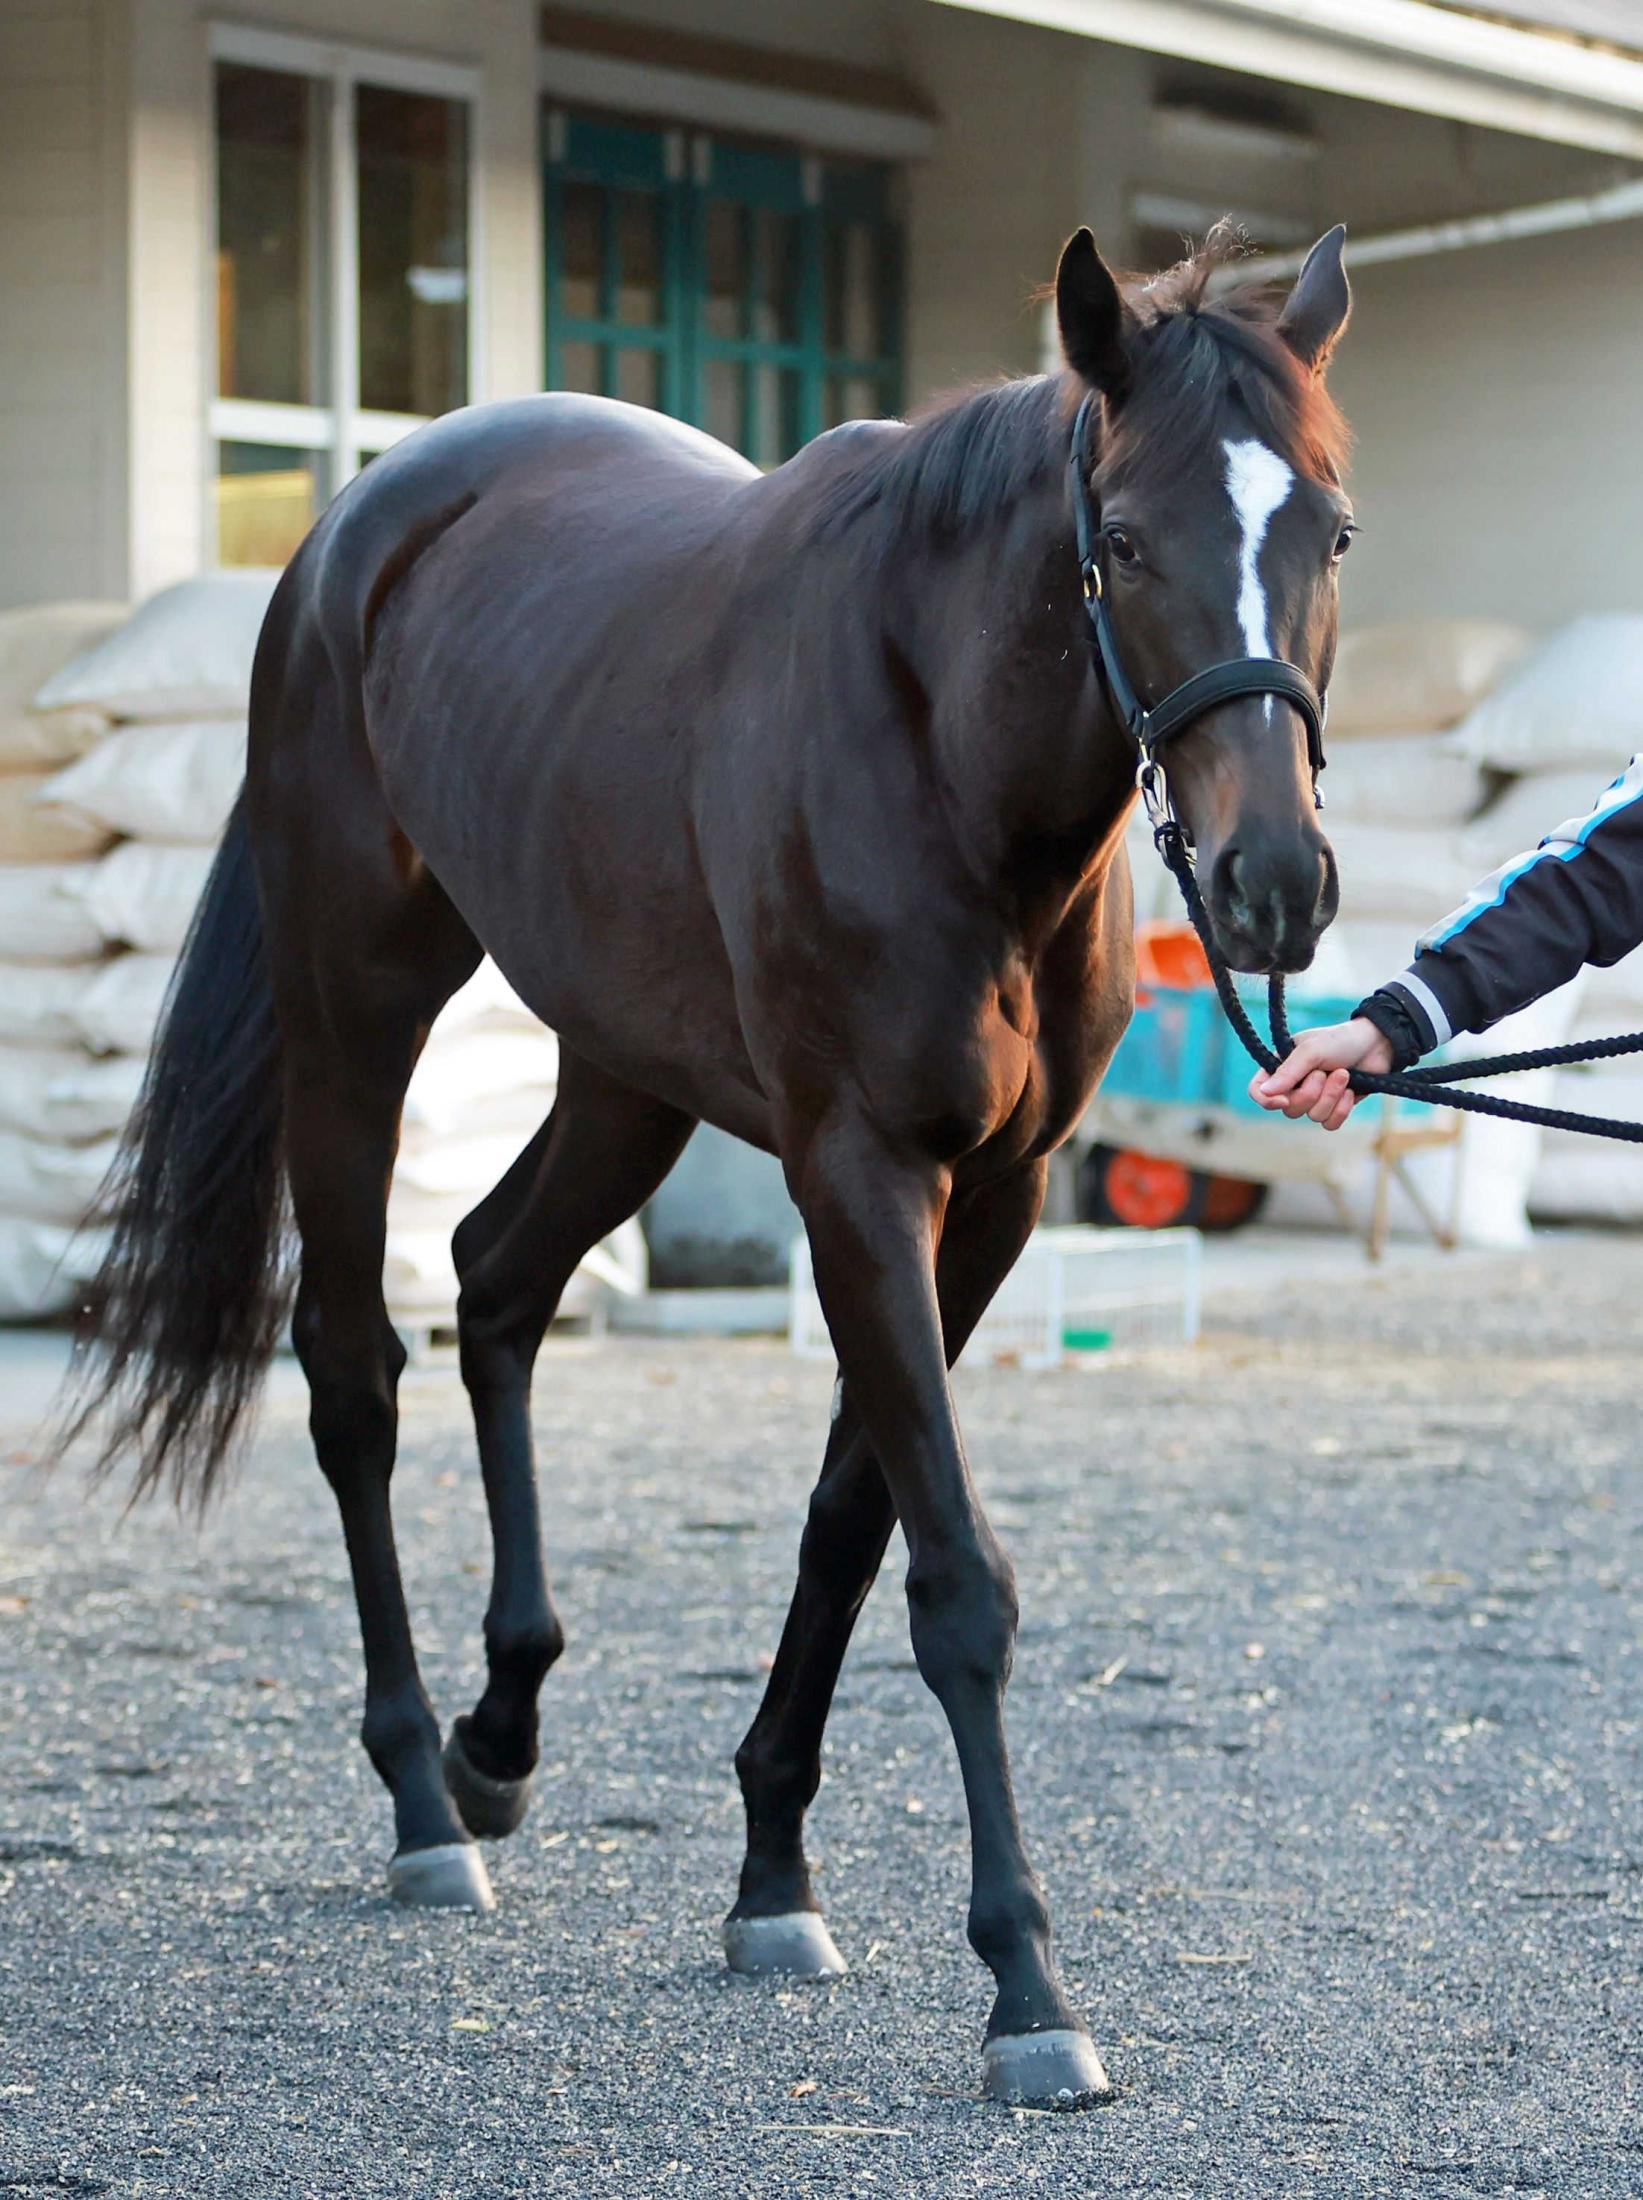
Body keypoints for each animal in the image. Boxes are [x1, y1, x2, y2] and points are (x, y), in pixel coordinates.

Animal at [64, 218, 1354, 2094]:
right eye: (1119, 539)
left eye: (1327, 529)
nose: (1271, 883)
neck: (939, 750)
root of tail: (349, 537)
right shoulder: (856, 1174)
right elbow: (953, 1577)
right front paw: (1026, 1988)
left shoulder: (990, 1201)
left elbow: (849, 1524)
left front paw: (770, 1880)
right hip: (353, 1008)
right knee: (354, 1370)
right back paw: (421, 1800)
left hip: (621, 1070)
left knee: (497, 1284)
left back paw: (499, 1732)